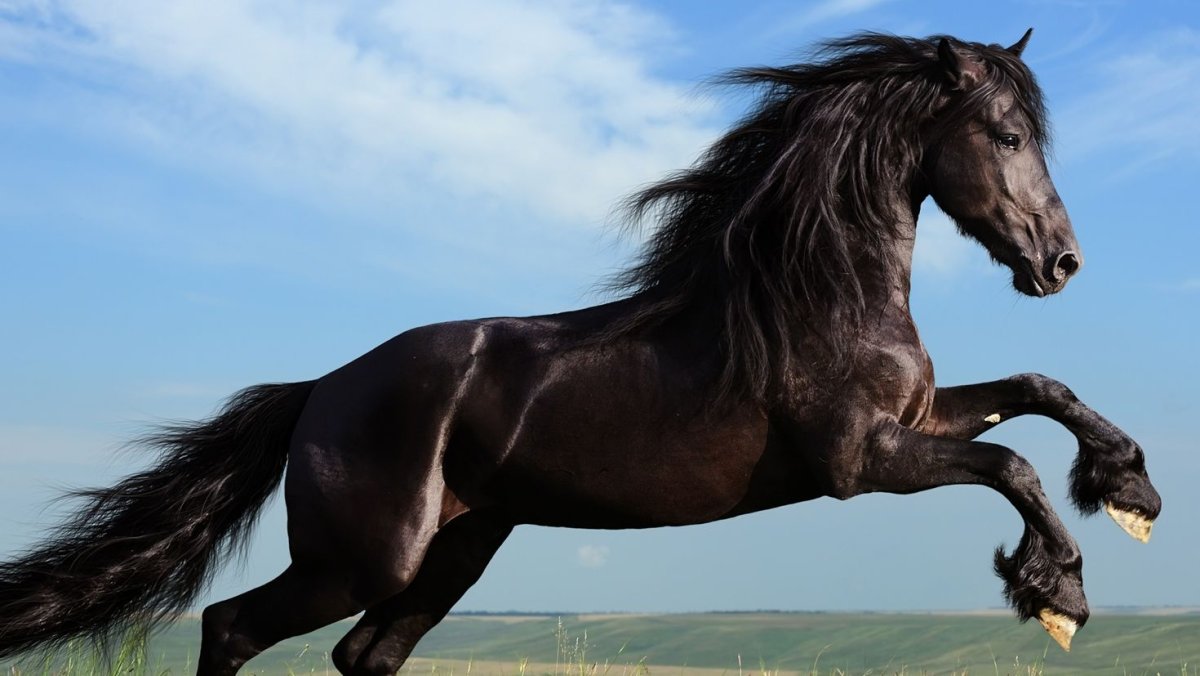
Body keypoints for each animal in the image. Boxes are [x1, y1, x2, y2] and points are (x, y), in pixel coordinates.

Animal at [0, 31, 1162, 675]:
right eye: (1007, 135)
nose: (1062, 262)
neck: (817, 294)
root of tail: (321, 389)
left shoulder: (915, 418)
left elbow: (1037, 389)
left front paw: (1131, 489)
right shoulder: (860, 460)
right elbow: (1009, 461)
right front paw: (1057, 593)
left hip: (455, 552)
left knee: (363, 653)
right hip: (361, 558)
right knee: (233, 628)